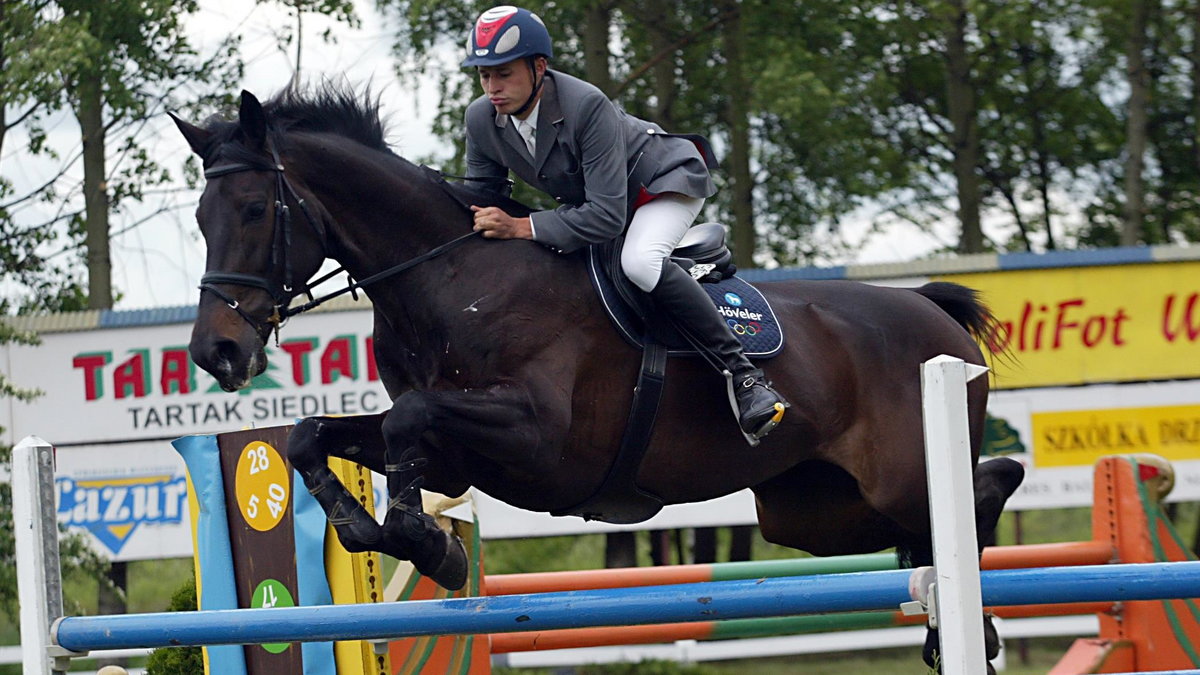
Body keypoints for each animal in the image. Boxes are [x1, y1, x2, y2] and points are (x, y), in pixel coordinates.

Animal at [174, 86, 1027, 667]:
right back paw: (951, 626)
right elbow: (315, 433)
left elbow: (408, 421)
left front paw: (423, 541)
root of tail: (932, 309)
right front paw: (378, 530)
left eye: (253, 210)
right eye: (200, 220)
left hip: (897, 475)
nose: (216, 353)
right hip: (809, 510)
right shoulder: (456, 454)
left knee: (984, 486)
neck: (448, 275)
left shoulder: (539, 440)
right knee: (923, 530)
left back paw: (971, 619)